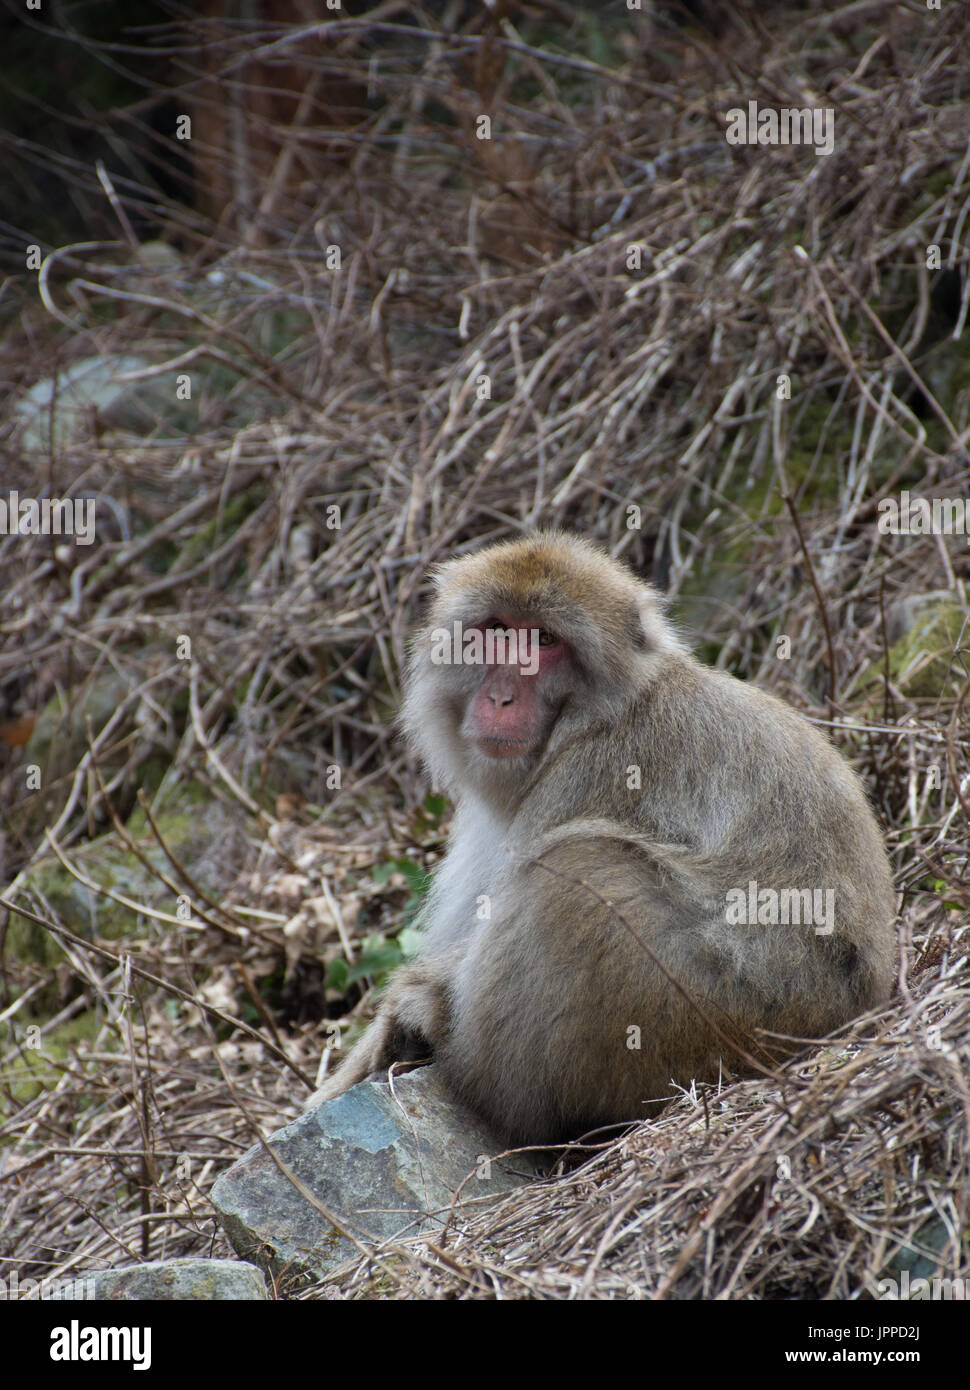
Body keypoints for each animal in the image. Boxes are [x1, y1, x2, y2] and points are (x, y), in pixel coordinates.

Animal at [309, 531, 896, 1146]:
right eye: (497, 630)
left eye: (544, 641)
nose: (500, 698)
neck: (591, 714)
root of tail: (856, 1013)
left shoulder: (594, 769)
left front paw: (410, 1011)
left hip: (714, 1012)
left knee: (576, 870)